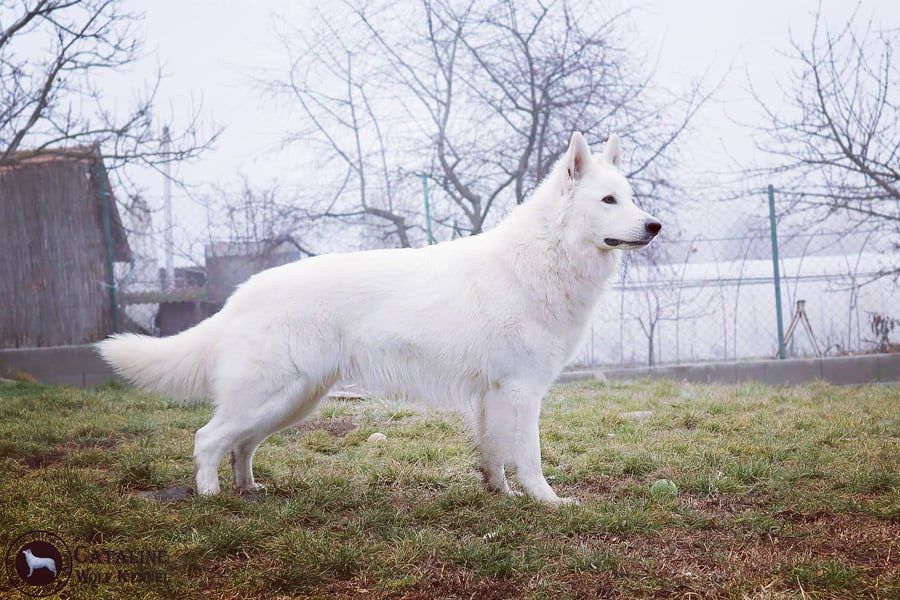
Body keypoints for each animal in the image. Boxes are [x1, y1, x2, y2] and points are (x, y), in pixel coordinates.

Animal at [98, 132, 660, 506]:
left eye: (631, 198)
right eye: (608, 200)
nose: (655, 225)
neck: (546, 254)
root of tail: (242, 293)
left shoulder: (492, 396)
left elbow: (494, 455)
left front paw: (499, 495)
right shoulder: (521, 392)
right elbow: (530, 458)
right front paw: (549, 504)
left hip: (292, 400)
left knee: (241, 445)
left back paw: (250, 490)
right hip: (271, 394)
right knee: (208, 439)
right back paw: (212, 497)